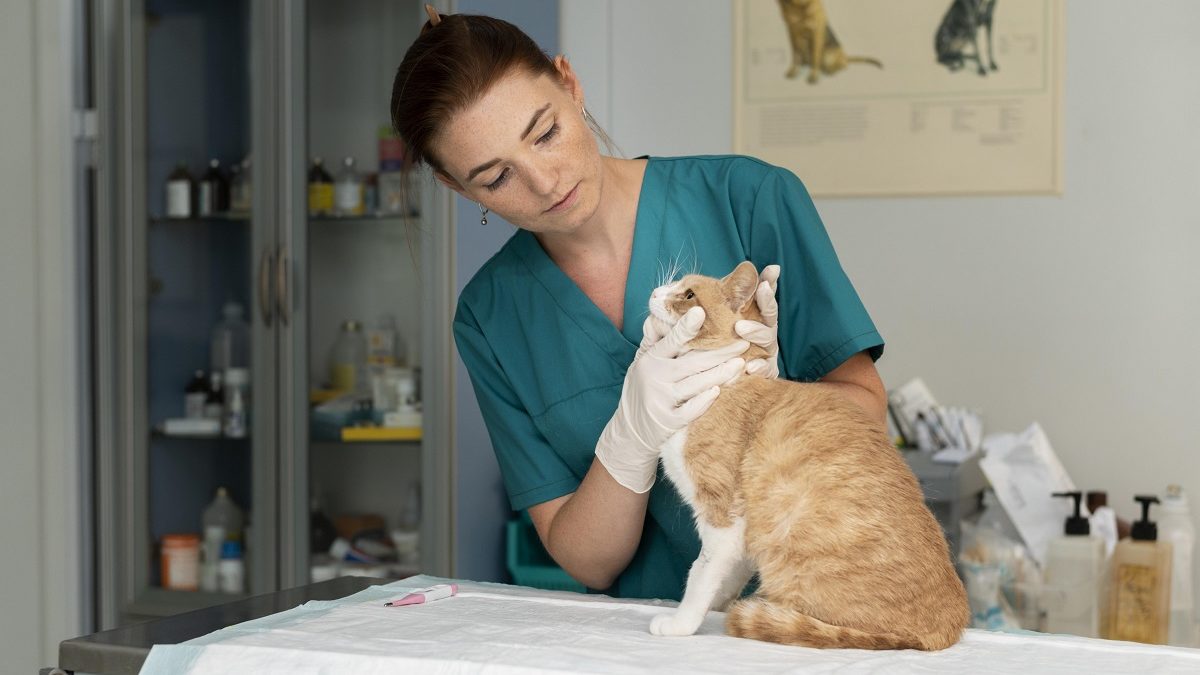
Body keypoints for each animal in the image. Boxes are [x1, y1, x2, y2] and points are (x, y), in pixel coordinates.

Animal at [648, 260, 964, 648]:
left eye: (689, 294)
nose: (655, 292)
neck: (721, 383)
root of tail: (949, 626)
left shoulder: (723, 516)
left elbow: (701, 574)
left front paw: (681, 623)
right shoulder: (742, 534)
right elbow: (728, 575)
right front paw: (717, 607)